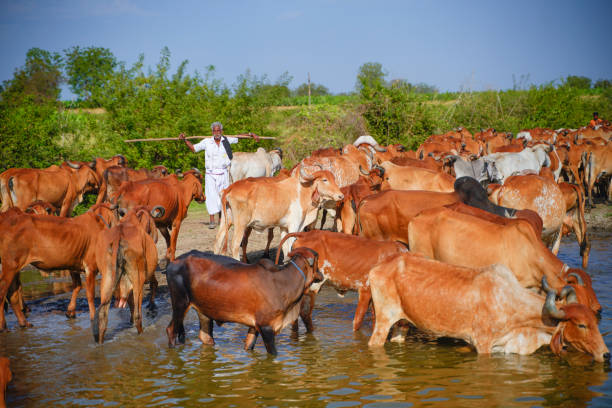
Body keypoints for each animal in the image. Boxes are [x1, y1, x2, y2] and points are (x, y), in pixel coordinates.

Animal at [165, 247, 322, 356]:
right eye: (317, 259)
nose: (320, 274)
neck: (284, 282)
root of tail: (173, 263)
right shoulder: (266, 327)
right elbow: (273, 354)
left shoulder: (254, 326)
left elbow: (249, 345)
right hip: (180, 303)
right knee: (171, 330)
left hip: (203, 310)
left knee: (206, 336)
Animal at [366, 252, 608, 364]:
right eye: (581, 325)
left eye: (595, 321)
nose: (606, 354)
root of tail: (378, 267)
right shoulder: (483, 344)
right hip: (383, 321)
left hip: (401, 324)